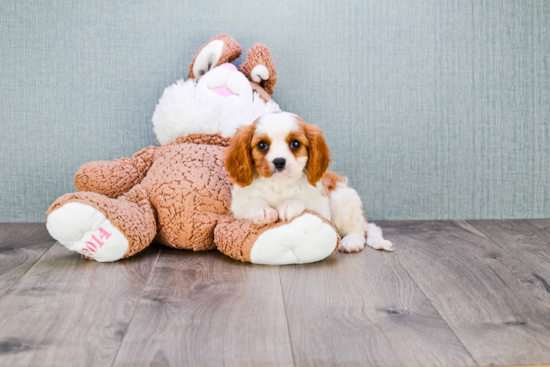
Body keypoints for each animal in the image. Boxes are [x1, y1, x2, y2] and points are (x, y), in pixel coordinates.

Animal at [226, 111, 394, 253]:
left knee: (358, 230)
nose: (279, 161)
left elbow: (303, 198)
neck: (279, 184)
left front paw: (290, 204)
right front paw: (263, 211)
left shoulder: (321, 205)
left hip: (342, 198)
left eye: (295, 144)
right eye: (262, 145)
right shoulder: (239, 204)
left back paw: (351, 242)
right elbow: (253, 202)